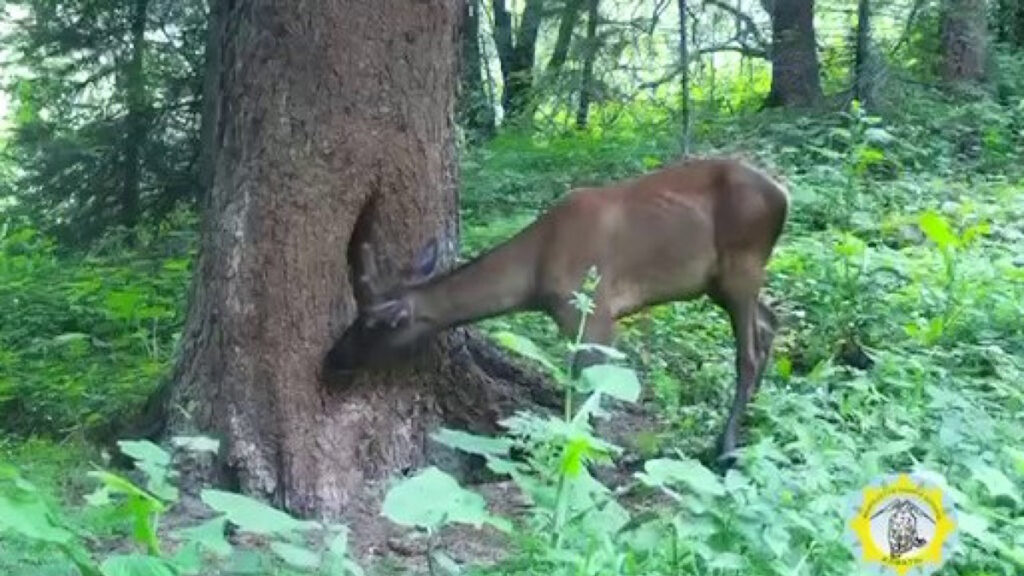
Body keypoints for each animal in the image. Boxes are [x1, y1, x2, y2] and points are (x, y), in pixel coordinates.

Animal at [327, 154, 790, 463]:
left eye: (372, 324)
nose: (331, 359)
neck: (535, 275)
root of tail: (783, 195)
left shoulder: (591, 312)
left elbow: (590, 388)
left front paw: (591, 461)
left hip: (741, 264)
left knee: (748, 352)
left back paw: (725, 448)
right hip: (720, 281)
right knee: (770, 323)